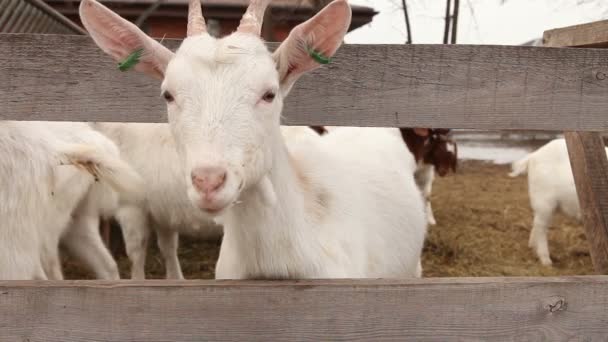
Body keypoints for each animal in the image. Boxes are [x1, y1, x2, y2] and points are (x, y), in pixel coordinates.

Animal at [510, 138, 604, 266]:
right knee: (541, 227)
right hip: (544, 200)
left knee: (537, 224)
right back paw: (546, 261)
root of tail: (533, 155)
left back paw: (532, 247)